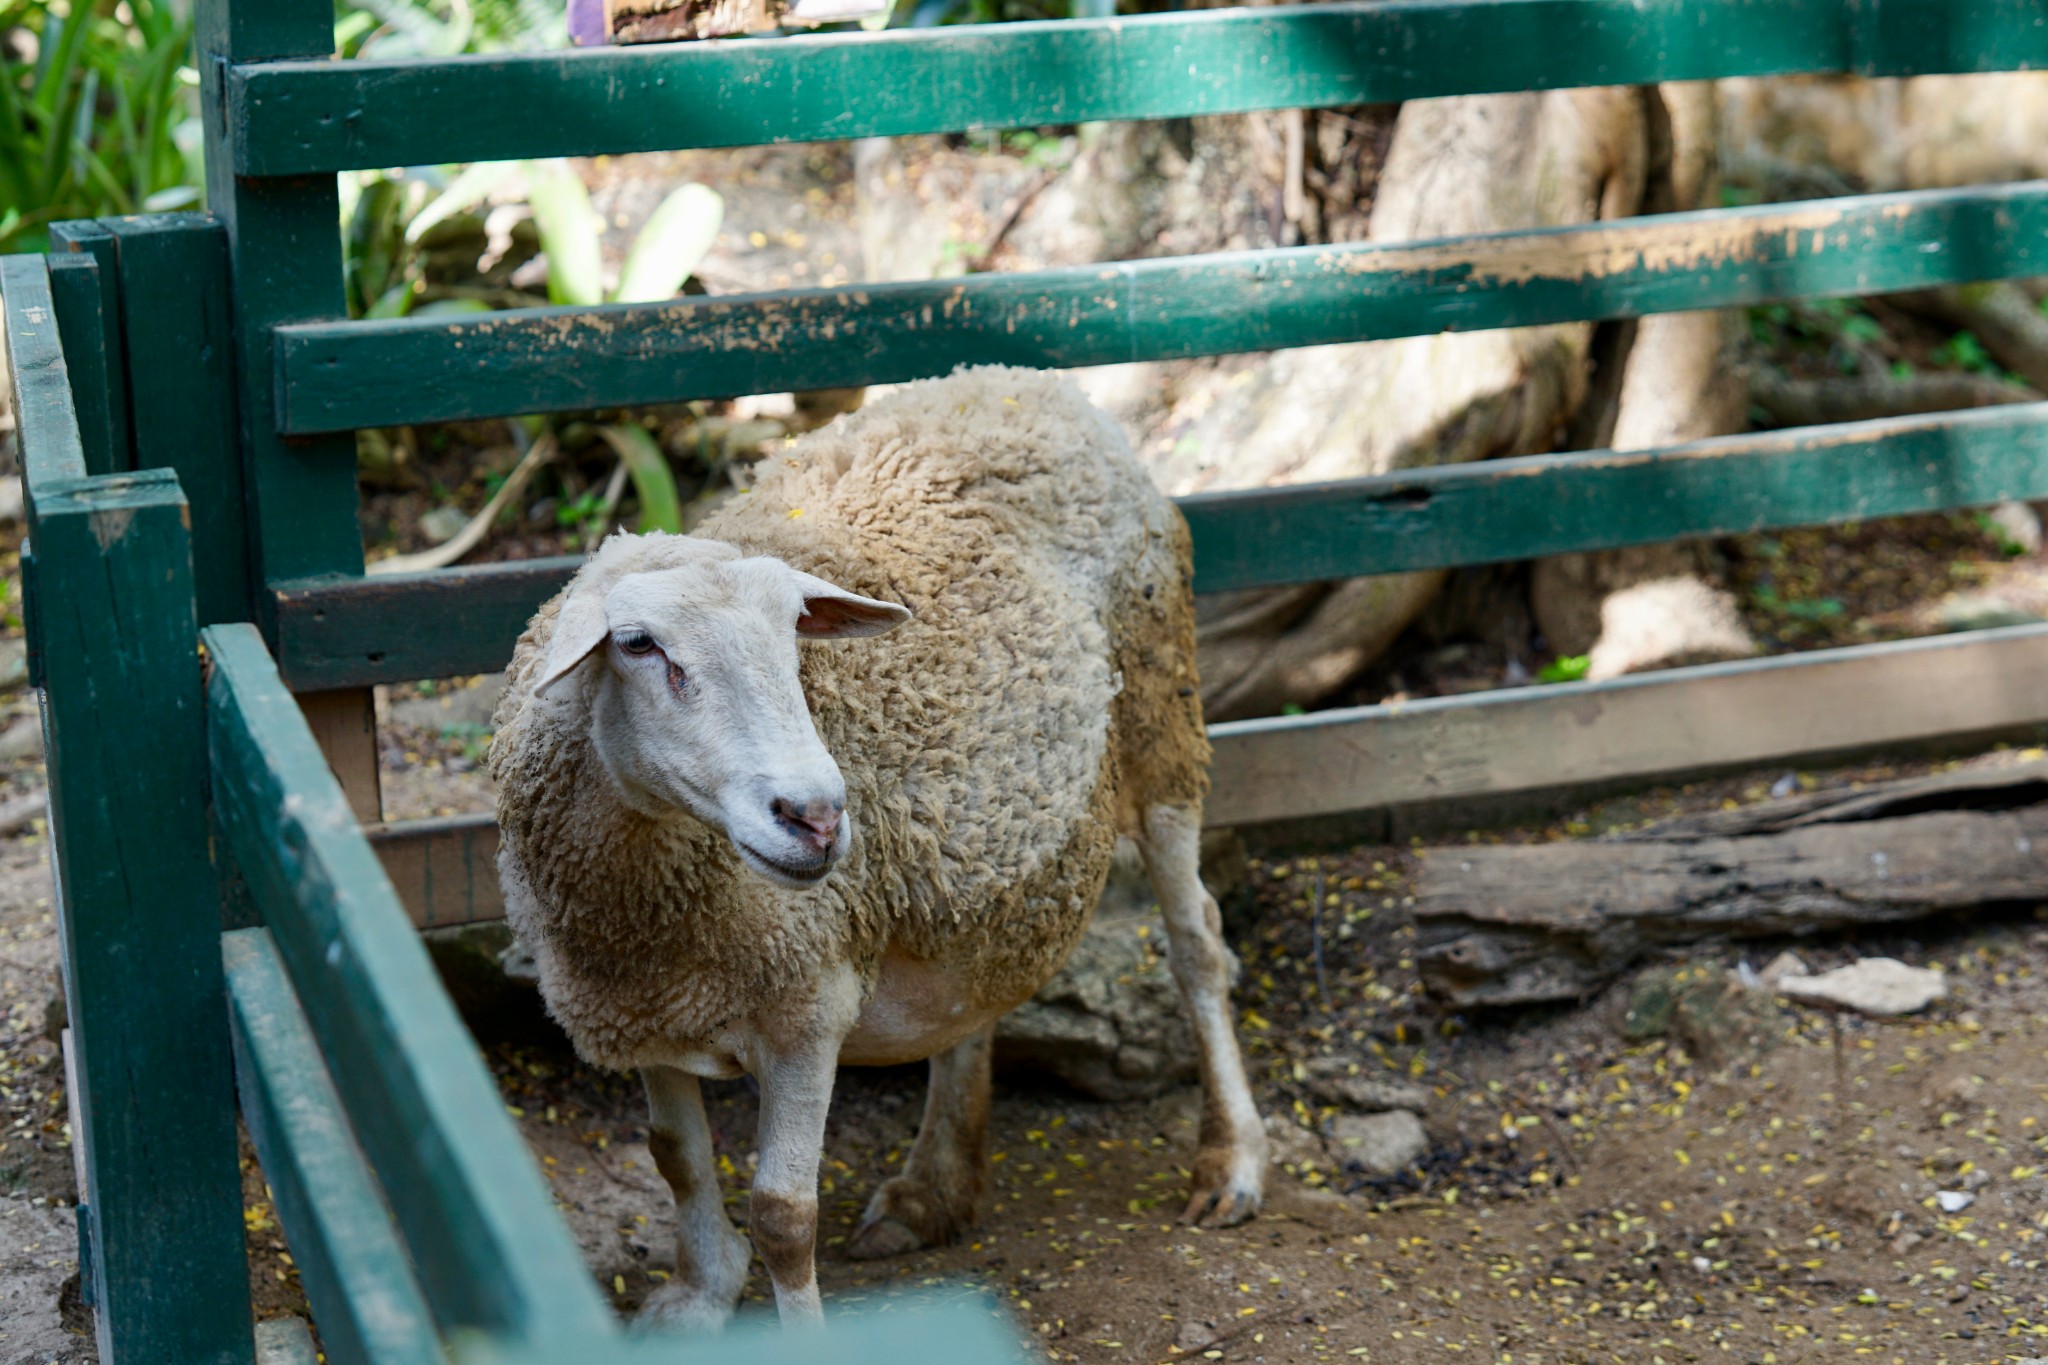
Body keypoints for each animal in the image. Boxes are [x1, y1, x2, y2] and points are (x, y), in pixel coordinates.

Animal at [491, 368, 1261, 1326]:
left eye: (795, 634)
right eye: (637, 644)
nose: (817, 815)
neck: (643, 909)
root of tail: (1028, 383)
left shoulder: (807, 1000)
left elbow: (784, 1214)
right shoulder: (646, 1009)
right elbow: (676, 1158)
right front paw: (700, 1296)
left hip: (1163, 715)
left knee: (1198, 940)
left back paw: (1231, 1163)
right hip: (976, 858)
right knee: (981, 986)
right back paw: (933, 1189)